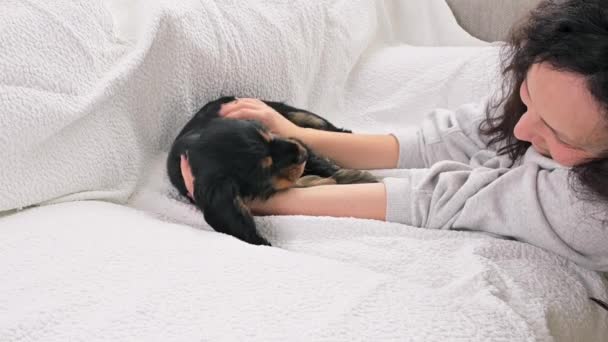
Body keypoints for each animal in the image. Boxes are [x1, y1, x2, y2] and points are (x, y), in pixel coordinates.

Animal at [166, 96, 376, 246]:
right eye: (265, 169)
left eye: (266, 134)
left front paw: (357, 178)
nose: (302, 154)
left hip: (291, 113)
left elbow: (322, 165)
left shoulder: (288, 137)